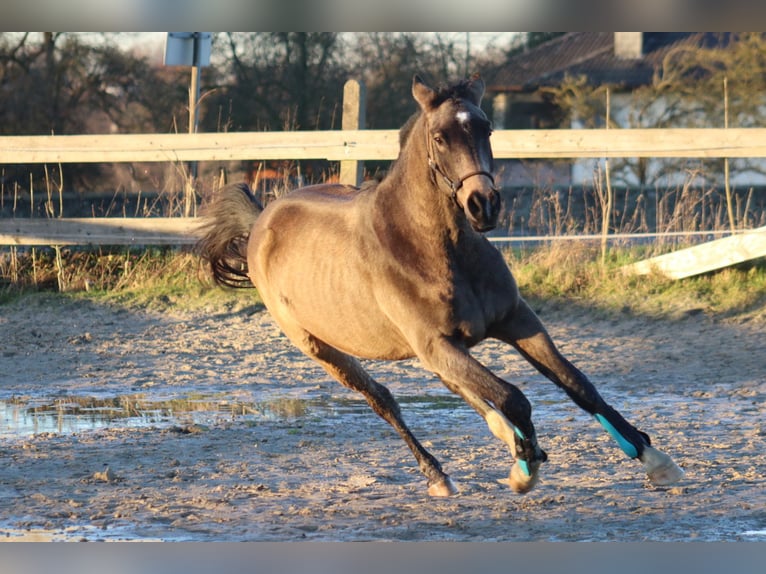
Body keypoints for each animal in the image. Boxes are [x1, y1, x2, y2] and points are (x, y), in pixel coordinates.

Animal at [196, 74, 684, 496]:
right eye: (439, 137)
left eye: (487, 128)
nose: (483, 205)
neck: (434, 248)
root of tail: (261, 219)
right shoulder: (437, 343)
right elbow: (515, 398)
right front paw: (525, 469)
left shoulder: (515, 321)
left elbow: (577, 384)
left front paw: (655, 459)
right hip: (321, 347)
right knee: (384, 400)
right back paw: (440, 474)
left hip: (429, 354)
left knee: (464, 391)